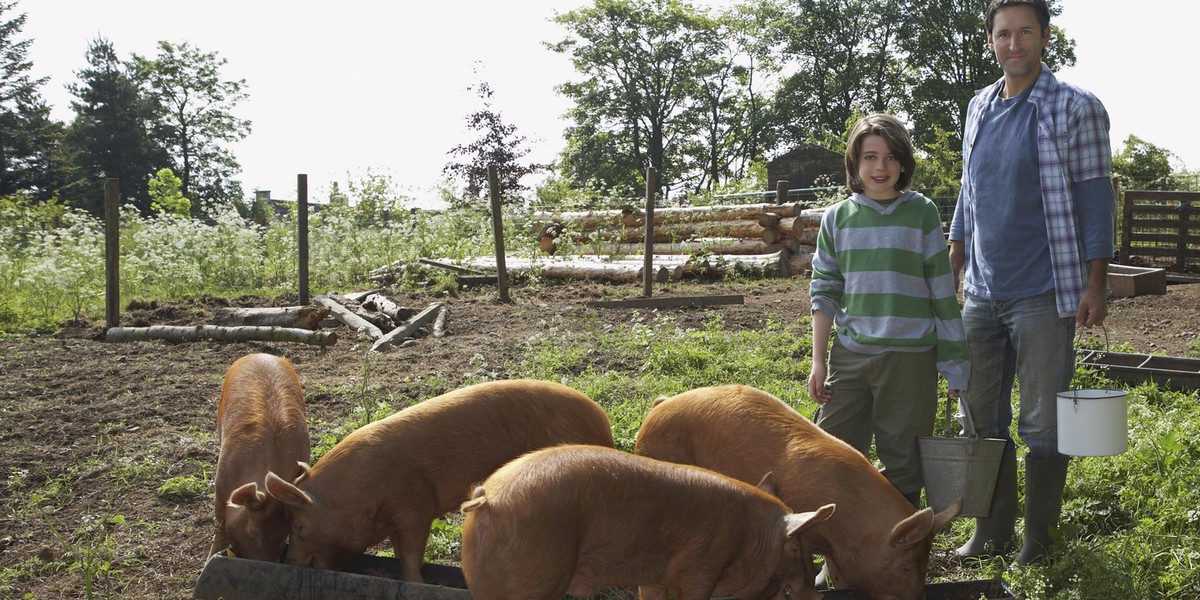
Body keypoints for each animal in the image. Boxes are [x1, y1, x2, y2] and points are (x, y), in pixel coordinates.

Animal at [266, 379, 614, 580]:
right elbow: (399, 552)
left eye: (300, 527)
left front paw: (415, 584)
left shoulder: (415, 505)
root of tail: (601, 420)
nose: (290, 563)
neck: (360, 493)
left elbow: (410, 554)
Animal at [458, 444, 835, 600]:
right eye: (797, 546)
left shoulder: (654, 576)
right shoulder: (700, 571)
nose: (817, 595)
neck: (747, 536)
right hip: (533, 578)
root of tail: (488, 501)